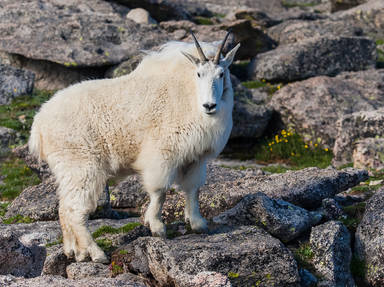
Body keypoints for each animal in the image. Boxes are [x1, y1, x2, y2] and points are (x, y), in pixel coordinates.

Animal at [28, 32, 240, 264]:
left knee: (63, 208)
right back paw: (96, 253)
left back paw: (75, 252)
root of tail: (39, 124)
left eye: (222, 73)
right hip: (81, 165)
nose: (209, 106)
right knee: (75, 210)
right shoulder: (163, 153)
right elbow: (160, 191)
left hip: (66, 169)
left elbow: (193, 189)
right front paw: (156, 227)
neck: (188, 93)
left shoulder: (196, 158)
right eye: (199, 73)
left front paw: (198, 224)